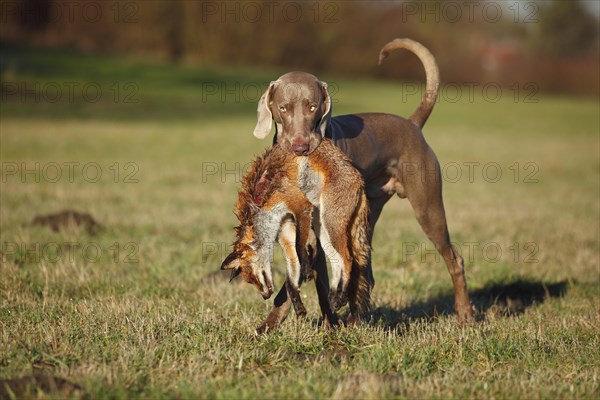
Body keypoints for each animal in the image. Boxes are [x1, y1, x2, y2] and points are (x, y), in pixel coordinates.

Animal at [220, 138, 370, 322]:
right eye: (249, 281)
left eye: (253, 276)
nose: (265, 297)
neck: (261, 200)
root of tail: (360, 180)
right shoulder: (285, 229)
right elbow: (291, 278)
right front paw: (298, 306)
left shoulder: (301, 207)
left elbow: (300, 247)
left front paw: (307, 270)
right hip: (322, 228)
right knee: (337, 261)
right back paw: (335, 297)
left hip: (330, 223)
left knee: (348, 259)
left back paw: (341, 296)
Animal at [250, 39, 474, 332]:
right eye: (284, 108)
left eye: (312, 107)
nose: (300, 146)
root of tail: (412, 125)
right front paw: (272, 325)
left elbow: (305, 283)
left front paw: (321, 321)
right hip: (367, 215)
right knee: (363, 270)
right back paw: (355, 319)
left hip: (427, 207)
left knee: (454, 259)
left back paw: (465, 313)